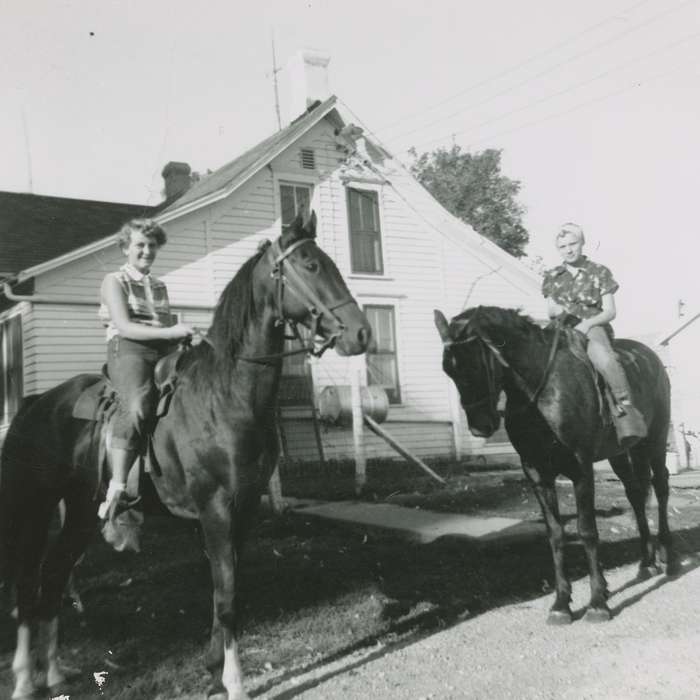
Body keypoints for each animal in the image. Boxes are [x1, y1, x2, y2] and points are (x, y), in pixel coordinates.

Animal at [1, 213, 372, 700]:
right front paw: (234, 681)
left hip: (81, 511)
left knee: (54, 575)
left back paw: (56, 673)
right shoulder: (215, 509)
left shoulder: (244, 509)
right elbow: (227, 596)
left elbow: (227, 591)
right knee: (27, 583)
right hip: (33, 506)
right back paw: (26, 678)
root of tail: (32, 406)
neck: (226, 395)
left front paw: (214, 669)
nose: (361, 333)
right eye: (310, 265)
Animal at [434, 306, 680, 624]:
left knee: (661, 487)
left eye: (476, 364)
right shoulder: (538, 474)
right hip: (622, 452)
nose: (480, 427)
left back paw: (669, 558)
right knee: (636, 495)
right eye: (448, 370)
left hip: (656, 439)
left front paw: (598, 602)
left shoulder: (581, 470)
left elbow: (587, 530)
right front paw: (562, 603)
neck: (541, 391)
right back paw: (646, 564)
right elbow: (555, 534)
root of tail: (650, 357)